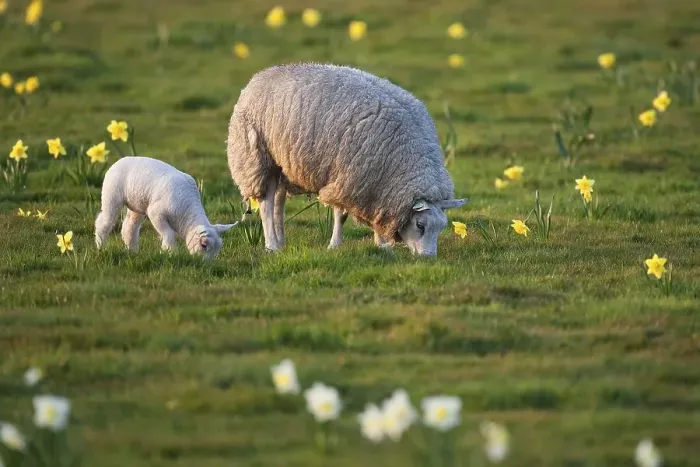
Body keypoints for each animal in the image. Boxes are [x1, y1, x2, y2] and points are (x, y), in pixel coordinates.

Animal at [94, 156, 237, 259]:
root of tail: (120, 160)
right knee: (104, 221)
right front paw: (170, 252)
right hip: (112, 194)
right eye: (204, 245)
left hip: (137, 204)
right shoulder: (156, 212)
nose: (206, 265)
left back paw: (132, 250)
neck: (185, 213)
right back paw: (101, 246)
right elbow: (168, 233)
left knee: (129, 226)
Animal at [226, 63, 465, 256]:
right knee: (266, 204)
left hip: (282, 163)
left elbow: (367, 216)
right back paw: (272, 246)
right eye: (420, 225)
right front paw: (335, 245)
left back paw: (281, 241)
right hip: (256, 157)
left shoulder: (369, 185)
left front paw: (381, 245)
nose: (428, 258)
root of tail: (260, 75)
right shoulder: (349, 176)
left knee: (278, 201)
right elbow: (340, 214)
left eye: (441, 227)